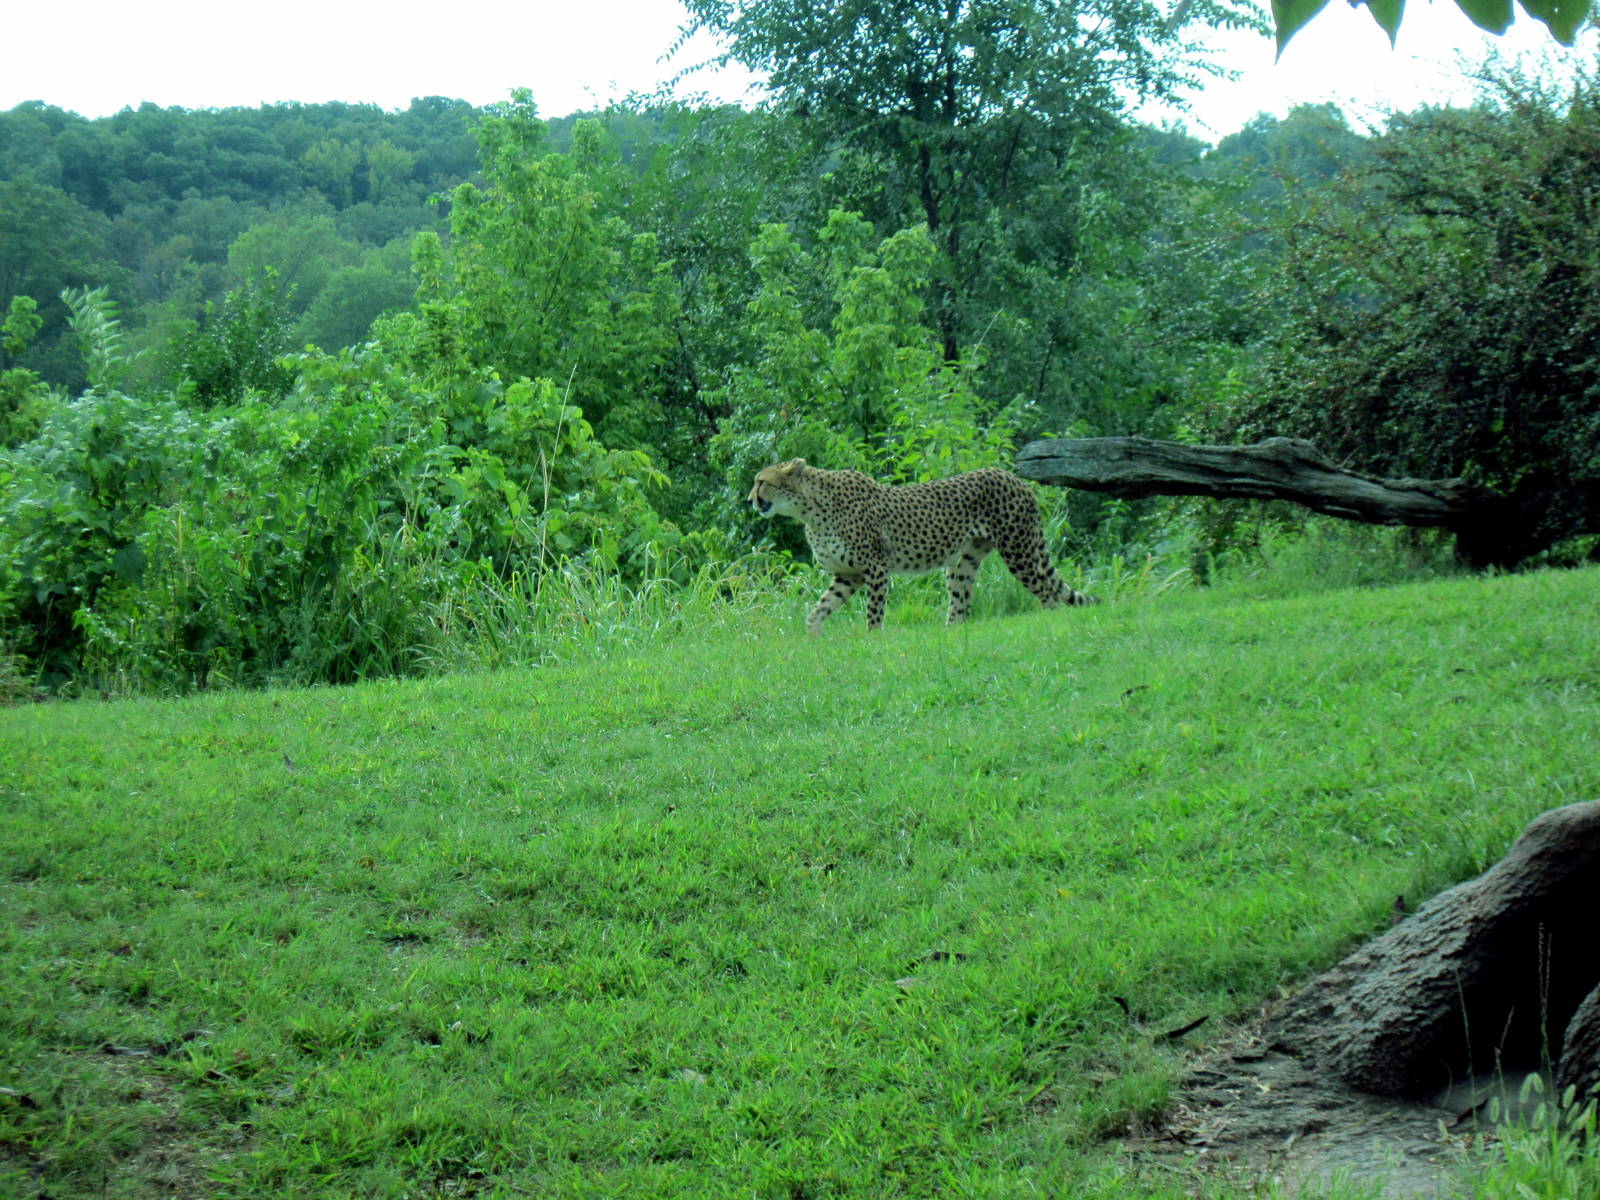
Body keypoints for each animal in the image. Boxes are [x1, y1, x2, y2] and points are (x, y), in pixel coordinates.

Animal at [747, 458, 1095, 634]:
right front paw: (813, 635)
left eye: (761, 482)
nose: (750, 499)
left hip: (1018, 550)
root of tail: (1012, 476)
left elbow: (874, 610)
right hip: (963, 563)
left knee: (1048, 593)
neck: (810, 509)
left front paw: (873, 639)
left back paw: (1049, 624)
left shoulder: (876, 568)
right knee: (961, 604)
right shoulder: (849, 575)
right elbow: (821, 607)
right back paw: (950, 633)